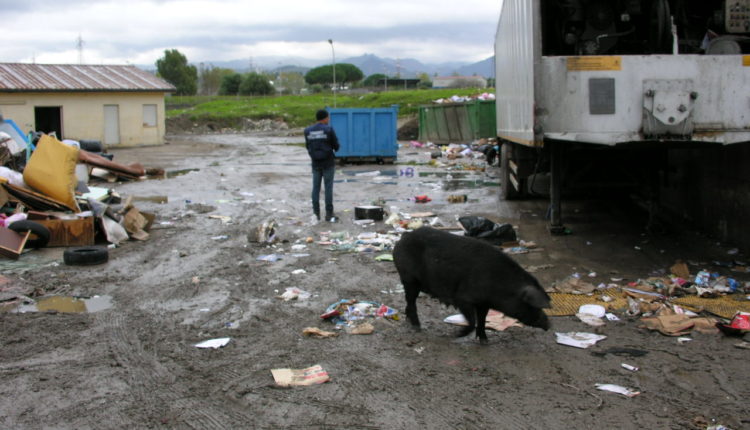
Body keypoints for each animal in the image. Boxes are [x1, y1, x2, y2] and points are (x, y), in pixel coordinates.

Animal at [394, 225, 552, 342]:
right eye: (534, 306)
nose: (549, 324)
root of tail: (403, 238)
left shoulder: (484, 303)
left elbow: (482, 319)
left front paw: (484, 341)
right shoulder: (463, 298)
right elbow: (472, 320)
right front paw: (456, 335)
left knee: (409, 302)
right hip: (409, 278)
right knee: (411, 301)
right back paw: (417, 327)